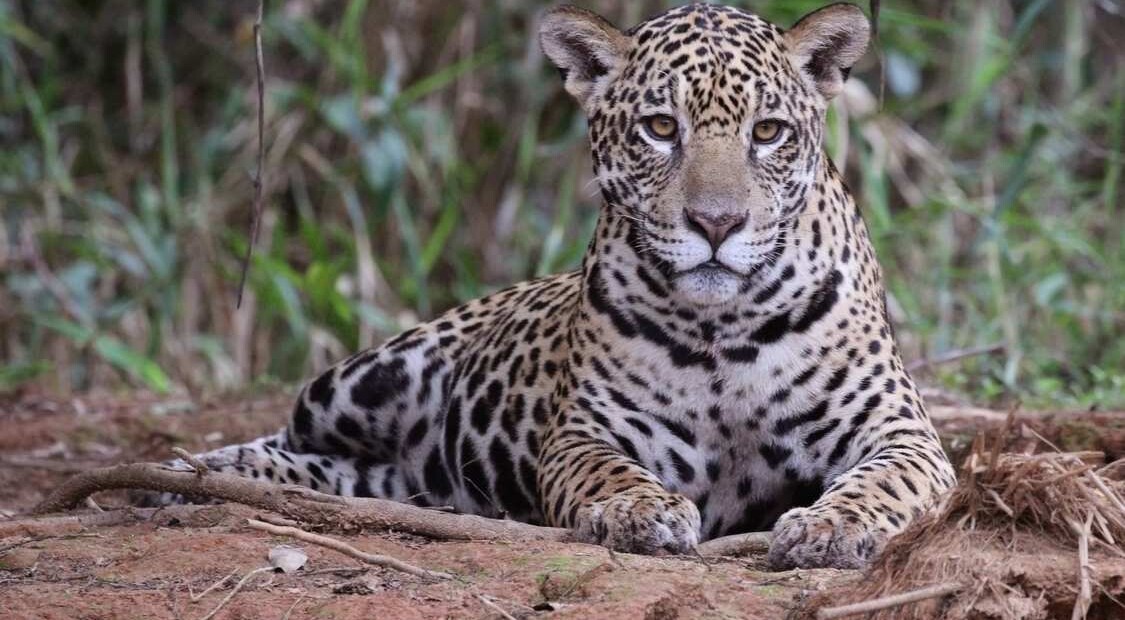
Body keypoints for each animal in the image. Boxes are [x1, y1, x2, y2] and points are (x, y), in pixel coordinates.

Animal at [155, 2, 956, 570]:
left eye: (768, 132)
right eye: (659, 128)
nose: (716, 223)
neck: (722, 326)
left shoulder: (901, 431)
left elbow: (882, 483)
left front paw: (831, 527)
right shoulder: (587, 432)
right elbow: (607, 474)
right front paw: (641, 513)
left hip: (392, 477)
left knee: (335, 474)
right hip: (363, 381)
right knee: (285, 439)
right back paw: (192, 472)